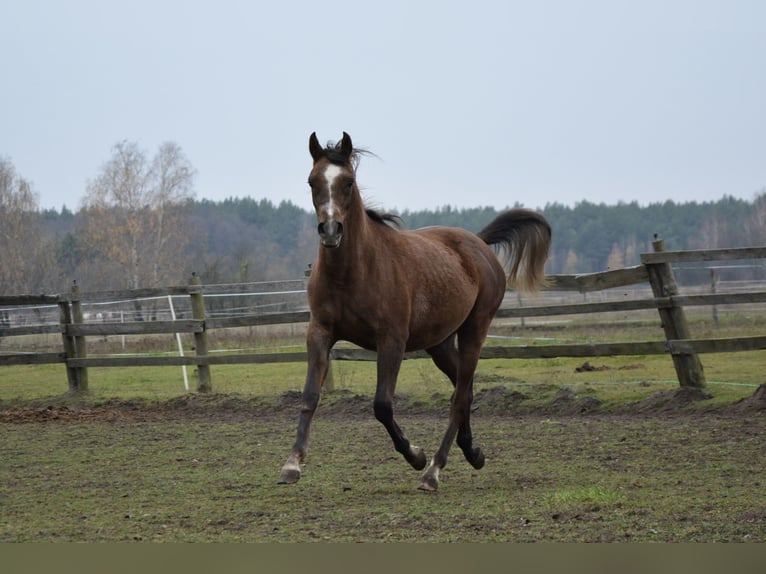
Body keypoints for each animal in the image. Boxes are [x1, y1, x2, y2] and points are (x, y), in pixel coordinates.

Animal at [282, 133, 552, 492]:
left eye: (349, 182)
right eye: (312, 181)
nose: (330, 231)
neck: (353, 271)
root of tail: (479, 244)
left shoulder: (392, 340)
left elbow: (382, 406)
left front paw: (416, 456)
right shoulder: (320, 333)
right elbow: (310, 395)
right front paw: (292, 463)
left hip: (475, 330)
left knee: (458, 398)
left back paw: (433, 470)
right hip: (440, 343)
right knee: (464, 390)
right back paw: (473, 453)